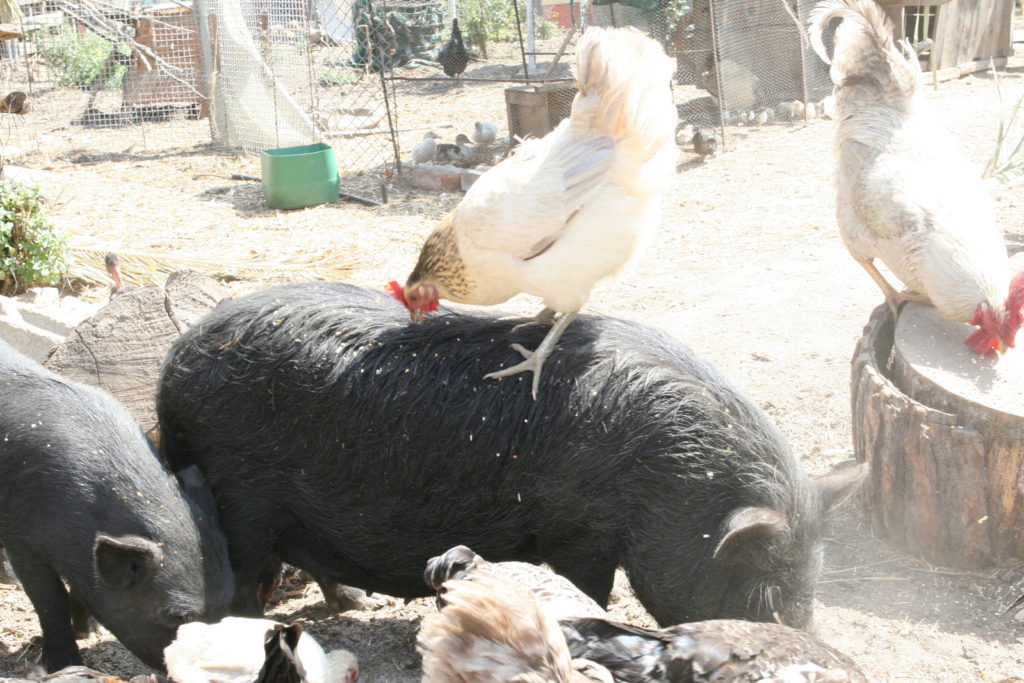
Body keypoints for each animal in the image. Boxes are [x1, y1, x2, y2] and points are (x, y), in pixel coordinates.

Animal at [0, 339, 232, 671]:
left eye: (227, 602)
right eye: (178, 616)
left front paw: (89, 631)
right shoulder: (22, 538)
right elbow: (49, 600)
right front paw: (66, 665)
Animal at [159, 282, 864, 630]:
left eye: (812, 581)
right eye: (763, 584)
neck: (665, 483)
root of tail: (175, 362)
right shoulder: (577, 533)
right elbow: (593, 590)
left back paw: (354, 606)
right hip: (239, 502)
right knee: (243, 580)